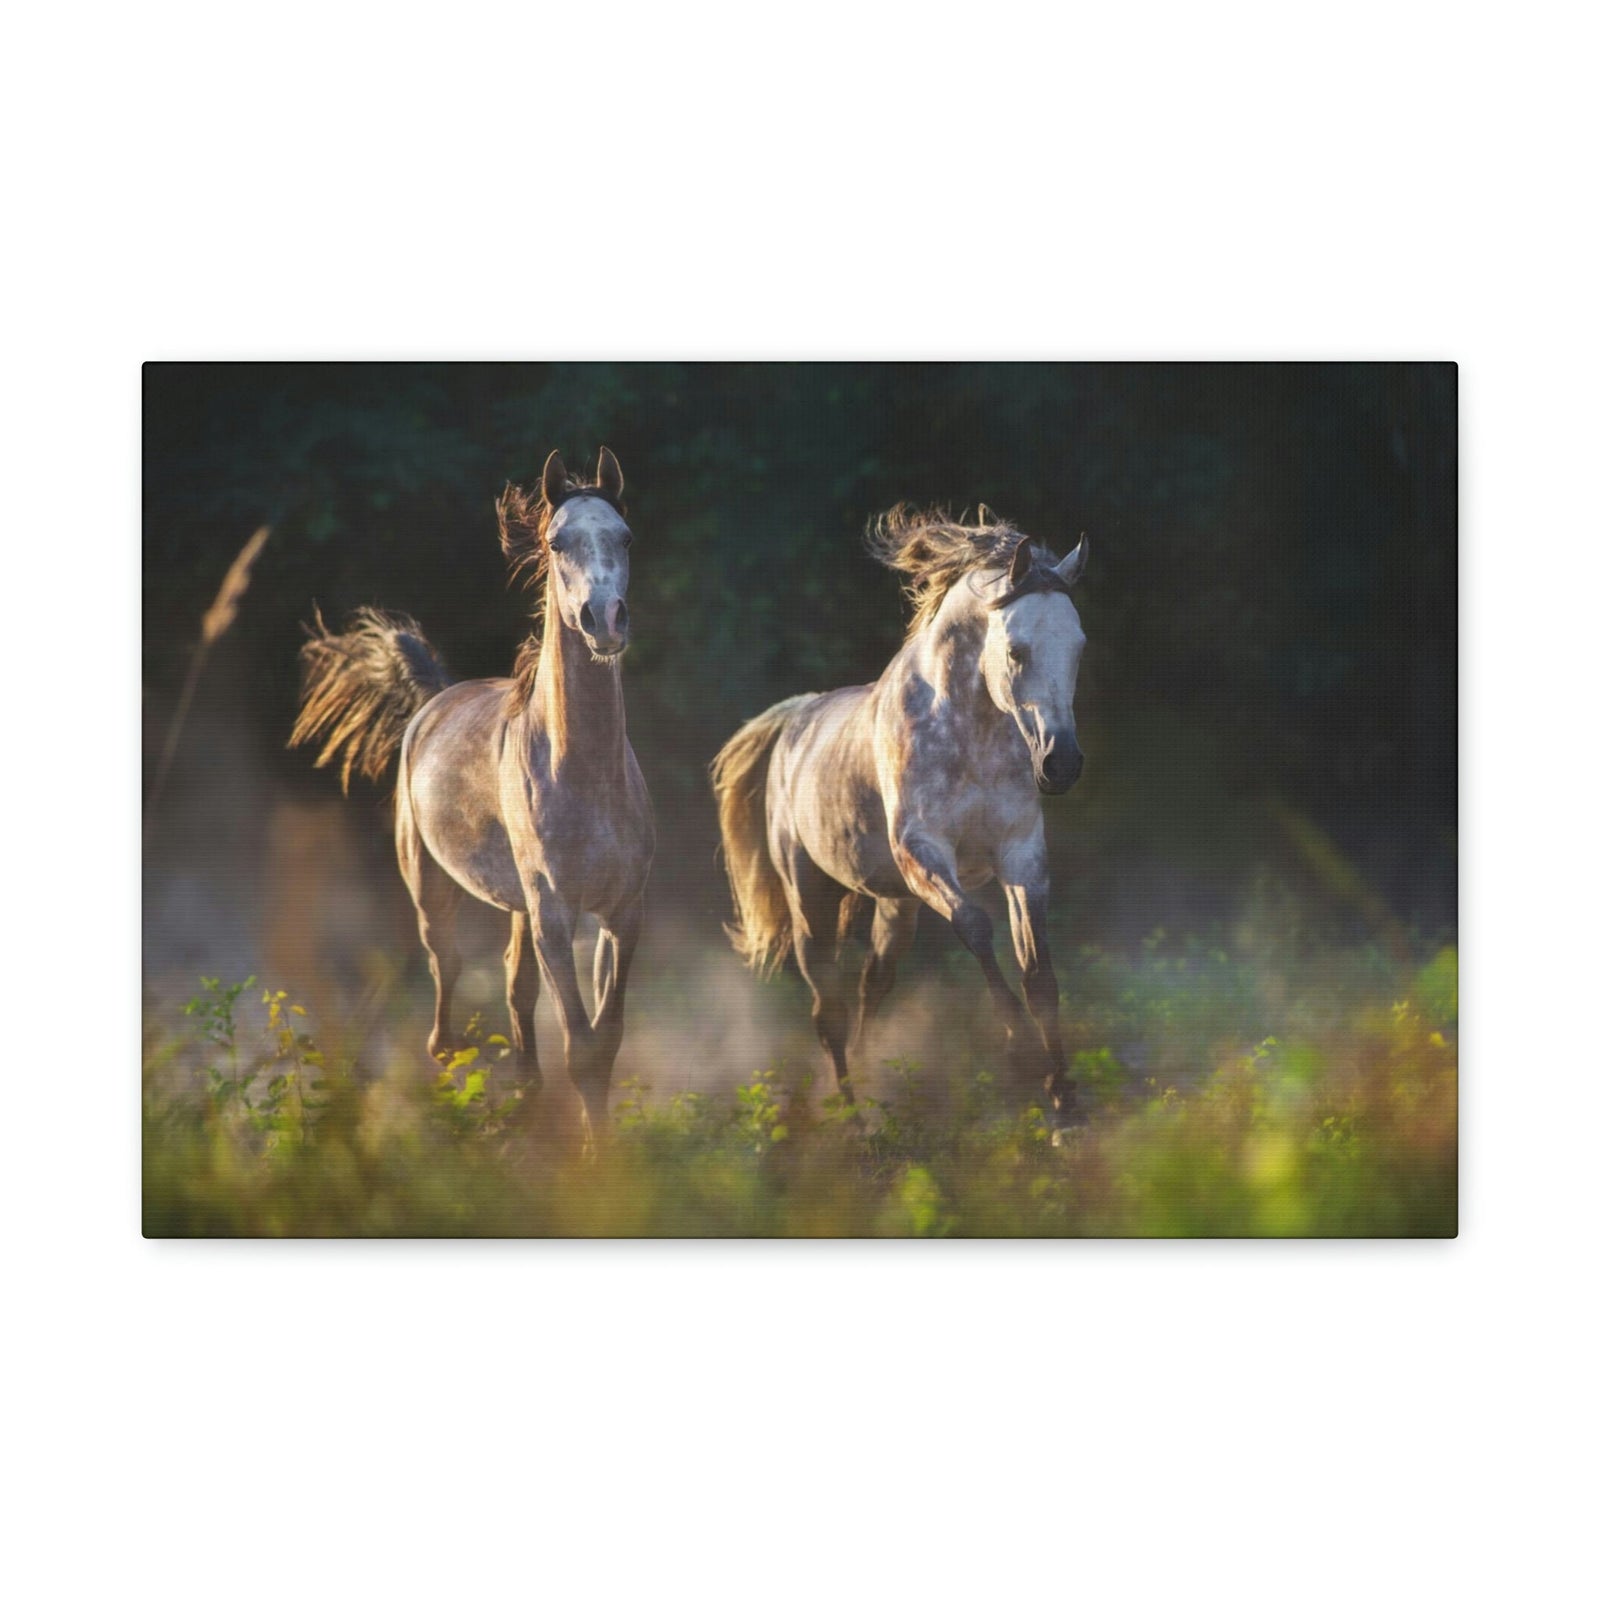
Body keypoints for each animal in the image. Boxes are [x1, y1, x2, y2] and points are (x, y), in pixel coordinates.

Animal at [289, 448, 655, 1136]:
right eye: (557, 542)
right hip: (433, 888)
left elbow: (607, 1039)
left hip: (517, 906)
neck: (585, 774)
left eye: (625, 537)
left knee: (514, 985)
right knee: (446, 991)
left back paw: (523, 1095)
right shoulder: (555, 916)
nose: (605, 620)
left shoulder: (621, 913)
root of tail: (435, 699)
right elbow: (581, 1046)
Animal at [711, 505, 1088, 1122]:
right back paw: (853, 1118)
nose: (1062, 764)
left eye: (1078, 647)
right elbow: (976, 927)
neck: (970, 732)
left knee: (873, 985)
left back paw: (868, 1080)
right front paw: (1022, 1052)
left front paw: (1066, 1105)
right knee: (828, 1010)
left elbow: (1040, 973)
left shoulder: (1022, 856)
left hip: (896, 905)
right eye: (1016, 650)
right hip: (811, 901)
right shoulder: (923, 853)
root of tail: (796, 720)